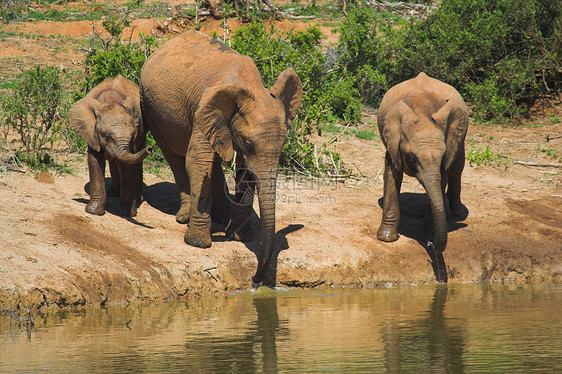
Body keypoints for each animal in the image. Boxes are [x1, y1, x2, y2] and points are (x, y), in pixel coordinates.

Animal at [69, 74, 154, 216]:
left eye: (132, 136)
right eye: (107, 136)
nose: (150, 149)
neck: (112, 101)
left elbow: (127, 165)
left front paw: (127, 213)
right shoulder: (92, 133)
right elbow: (95, 160)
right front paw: (93, 212)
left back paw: (137, 199)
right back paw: (113, 193)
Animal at [139, 30, 302, 284]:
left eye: (283, 144)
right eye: (248, 143)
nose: (255, 280)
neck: (250, 86)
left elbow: (245, 169)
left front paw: (238, 237)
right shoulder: (203, 109)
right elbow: (197, 160)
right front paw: (198, 244)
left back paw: (221, 216)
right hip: (151, 106)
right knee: (175, 155)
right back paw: (184, 217)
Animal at [376, 71, 468, 254]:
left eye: (442, 155)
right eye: (412, 158)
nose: (431, 244)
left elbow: (443, 176)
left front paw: (429, 233)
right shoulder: (393, 142)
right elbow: (391, 174)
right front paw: (386, 238)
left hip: (460, 138)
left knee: (456, 169)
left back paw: (455, 213)